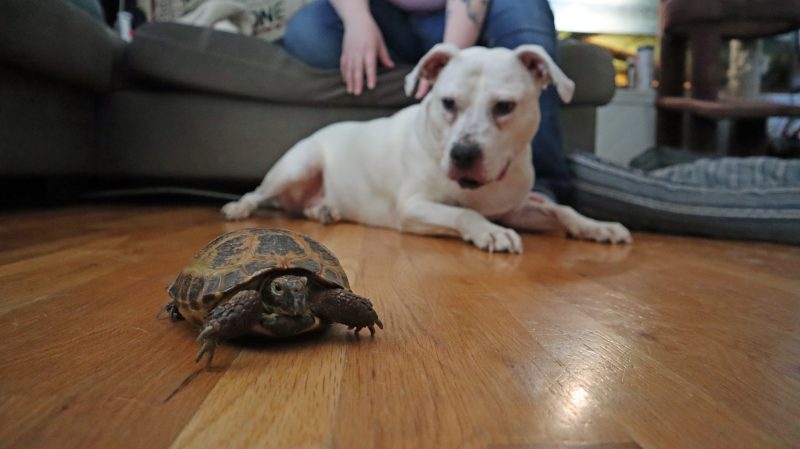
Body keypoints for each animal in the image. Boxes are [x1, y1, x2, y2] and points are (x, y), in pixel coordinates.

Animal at [223, 43, 632, 252]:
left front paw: (597, 227)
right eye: (448, 102)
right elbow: (464, 214)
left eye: (505, 106)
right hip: (299, 165)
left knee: (304, 206)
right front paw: (490, 231)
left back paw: (324, 210)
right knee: (259, 192)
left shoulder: (515, 208)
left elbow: (562, 209)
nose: (463, 154)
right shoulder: (414, 207)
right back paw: (239, 207)